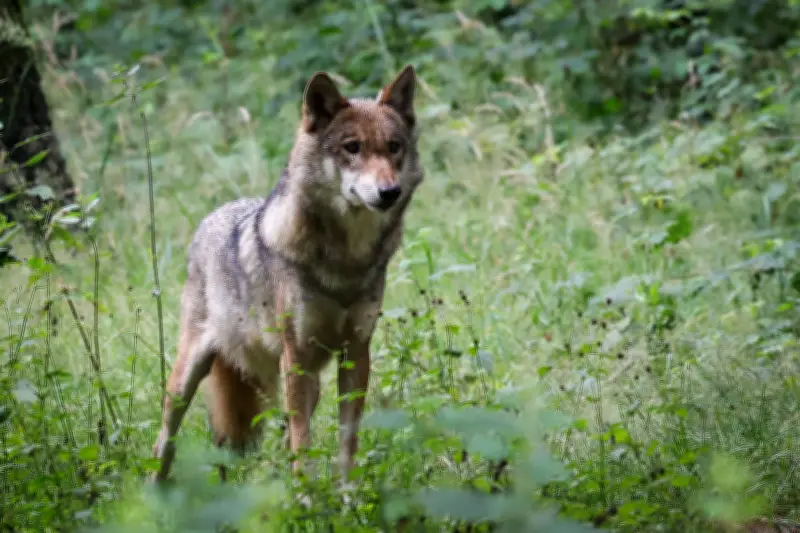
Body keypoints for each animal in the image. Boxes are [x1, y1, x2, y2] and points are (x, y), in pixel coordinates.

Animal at [151, 65, 423, 483]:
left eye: (394, 146)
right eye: (352, 147)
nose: (389, 192)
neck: (346, 261)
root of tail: (212, 216)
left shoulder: (356, 353)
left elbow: (345, 444)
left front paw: (346, 496)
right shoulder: (295, 356)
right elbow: (302, 445)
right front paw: (308, 497)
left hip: (308, 381)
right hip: (187, 380)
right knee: (163, 444)